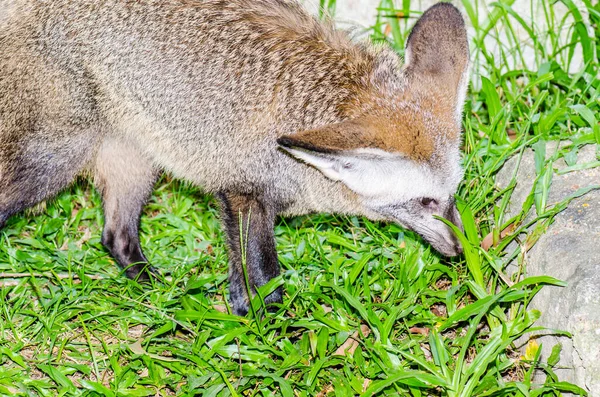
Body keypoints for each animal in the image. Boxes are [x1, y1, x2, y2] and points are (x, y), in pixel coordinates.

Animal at [0, 0, 468, 316]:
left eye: (453, 195)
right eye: (425, 201)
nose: (463, 250)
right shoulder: (243, 193)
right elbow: (263, 287)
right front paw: (266, 337)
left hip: (137, 157)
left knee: (116, 237)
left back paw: (158, 290)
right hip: (50, 162)